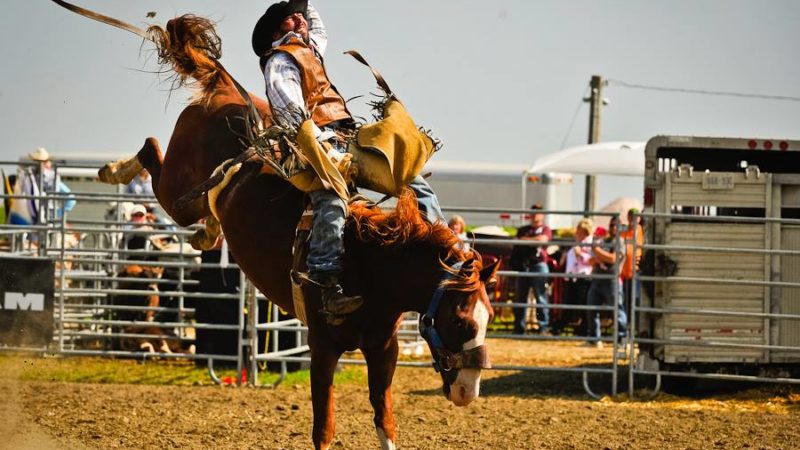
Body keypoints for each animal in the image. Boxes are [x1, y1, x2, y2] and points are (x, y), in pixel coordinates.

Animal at [50, 2, 500, 446]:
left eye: (488, 317)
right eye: (459, 320)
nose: (468, 391)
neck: (370, 264)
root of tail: (225, 87)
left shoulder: (383, 349)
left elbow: (384, 421)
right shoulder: (322, 347)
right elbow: (324, 429)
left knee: (198, 202)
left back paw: (205, 232)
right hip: (177, 186)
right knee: (150, 151)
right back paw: (113, 169)